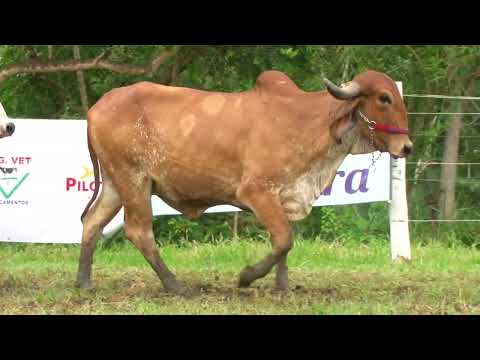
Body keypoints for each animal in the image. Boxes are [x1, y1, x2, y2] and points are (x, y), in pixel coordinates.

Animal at [76, 69, 412, 292]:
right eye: (384, 98)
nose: (406, 147)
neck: (306, 121)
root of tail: (96, 109)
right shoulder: (256, 191)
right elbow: (284, 239)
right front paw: (247, 277)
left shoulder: (284, 197)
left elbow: (283, 243)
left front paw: (282, 286)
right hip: (134, 180)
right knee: (139, 231)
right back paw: (174, 285)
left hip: (116, 184)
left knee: (92, 222)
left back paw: (84, 283)